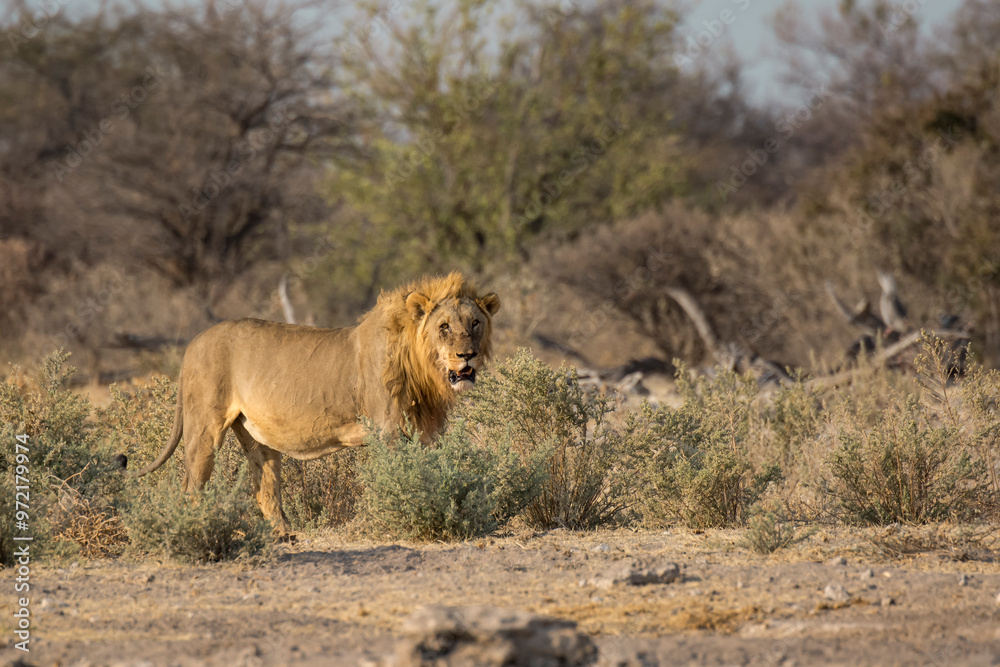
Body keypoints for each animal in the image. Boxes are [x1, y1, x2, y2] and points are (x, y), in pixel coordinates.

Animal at [135, 272, 500, 536]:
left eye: (475, 323)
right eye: (444, 326)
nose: (467, 355)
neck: (424, 370)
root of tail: (192, 344)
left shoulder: (427, 431)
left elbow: (428, 474)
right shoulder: (388, 431)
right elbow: (395, 479)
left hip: (255, 436)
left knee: (265, 487)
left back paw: (284, 534)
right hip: (204, 428)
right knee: (191, 485)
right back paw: (197, 529)